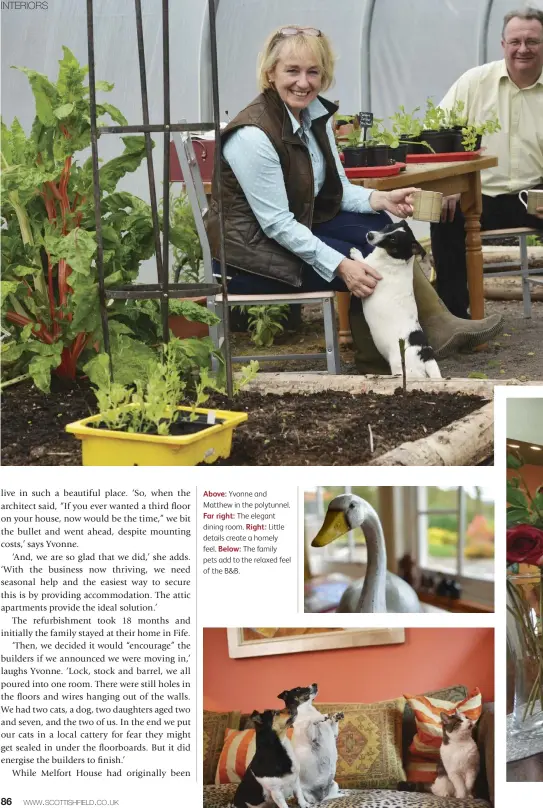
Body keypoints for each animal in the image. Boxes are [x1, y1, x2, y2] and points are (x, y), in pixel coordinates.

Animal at [352, 219, 442, 380]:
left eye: (393, 239)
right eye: (388, 226)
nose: (370, 235)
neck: (393, 258)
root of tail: (426, 357)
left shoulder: (369, 273)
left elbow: (362, 262)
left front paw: (355, 253)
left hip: (403, 370)